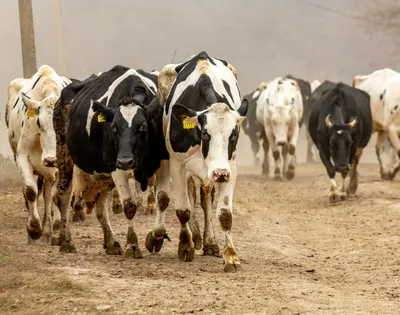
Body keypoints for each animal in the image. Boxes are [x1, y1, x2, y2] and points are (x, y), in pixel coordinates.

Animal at [52, 66, 169, 256]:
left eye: (143, 126)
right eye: (114, 127)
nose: (126, 160)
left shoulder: (163, 164)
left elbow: (163, 199)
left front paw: (155, 239)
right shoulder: (117, 168)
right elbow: (129, 206)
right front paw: (132, 245)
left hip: (103, 175)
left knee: (100, 207)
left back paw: (111, 242)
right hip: (65, 156)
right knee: (62, 196)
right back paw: (66, 241)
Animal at [155, 51, 247, 274]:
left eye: (234, 135)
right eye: (206, 134)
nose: (220, 173)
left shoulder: (230, 168)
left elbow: (224, 214)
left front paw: (231, 257)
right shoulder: (177, 165)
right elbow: (183, 210)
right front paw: (185, 245)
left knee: (204, 198)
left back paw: (209, 241)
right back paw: (193, 237)